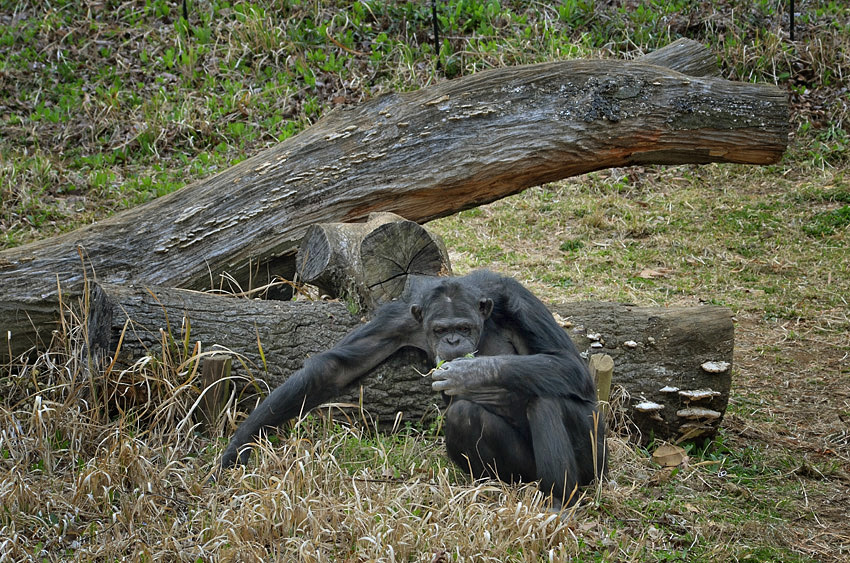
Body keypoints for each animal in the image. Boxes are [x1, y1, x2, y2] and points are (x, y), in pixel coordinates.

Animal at [219, 270, 604, 506]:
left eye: (464, 327)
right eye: (440, 330)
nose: (453, 340)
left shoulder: (518, 300)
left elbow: (569, 364)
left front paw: (470, 373)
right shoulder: (398, 320)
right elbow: (334, 369)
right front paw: (240, 444)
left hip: (596, 458)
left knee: (548, 398)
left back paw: (560, 502)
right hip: (523, 472)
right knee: (465, 416)